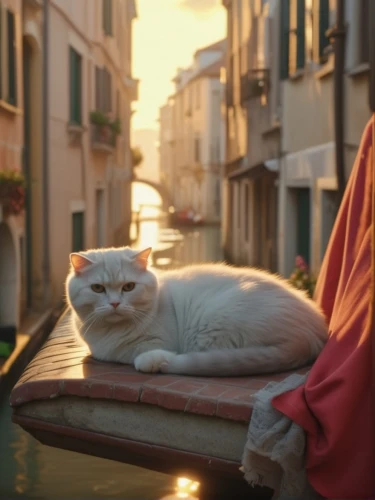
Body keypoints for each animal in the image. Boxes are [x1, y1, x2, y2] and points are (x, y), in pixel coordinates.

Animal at [66, 246, 328, 376]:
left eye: (129, 287)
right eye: (97, 288)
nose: (114, 304)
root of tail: (311, 335)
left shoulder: (155, 342)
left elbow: (130, 353)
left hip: (213, 324)